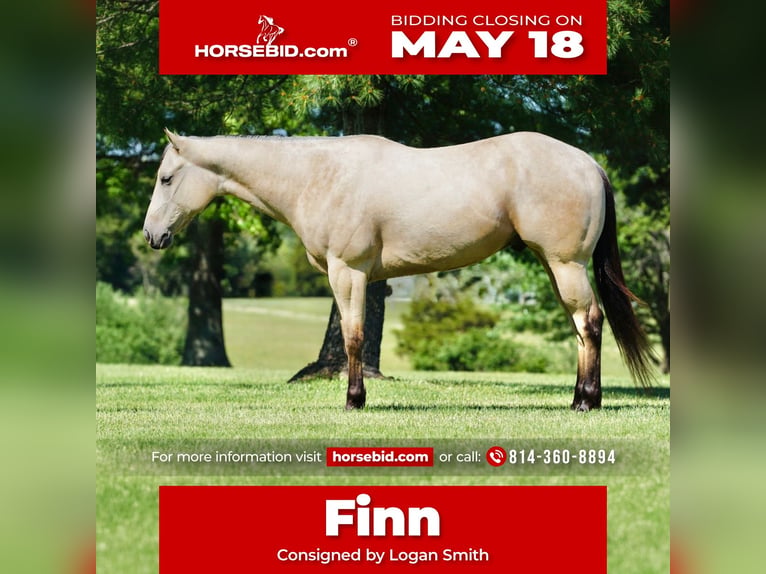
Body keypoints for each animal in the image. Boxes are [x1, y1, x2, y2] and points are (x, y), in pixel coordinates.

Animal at [144, 130, 655, 412]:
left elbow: (353, 336)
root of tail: (587, 162)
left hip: (566, 265)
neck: (317, 175)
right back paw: (578, 397)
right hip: (555, 266)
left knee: (590, 323)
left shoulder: (347, 272)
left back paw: (586, 402)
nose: (152, 235)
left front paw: (354, 401)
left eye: (167, 178)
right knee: (580, 327)